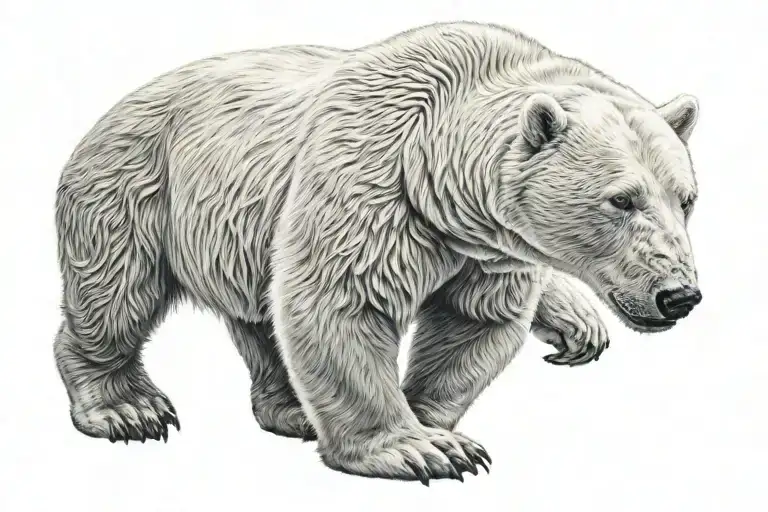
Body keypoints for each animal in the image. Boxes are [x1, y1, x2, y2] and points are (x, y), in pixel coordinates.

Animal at [54, 21, 702, 484]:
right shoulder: (372, 179)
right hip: (136, 189)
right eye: (622, 200)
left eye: (687, 198)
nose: (679, 295)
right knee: (116, 295)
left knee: (264, 319)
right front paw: (418, 450)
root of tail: (111, 111)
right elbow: (342, 303)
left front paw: (433, 424)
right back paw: (126, 408)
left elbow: (472, 321)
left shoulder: (489, 250)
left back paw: (292, 410)